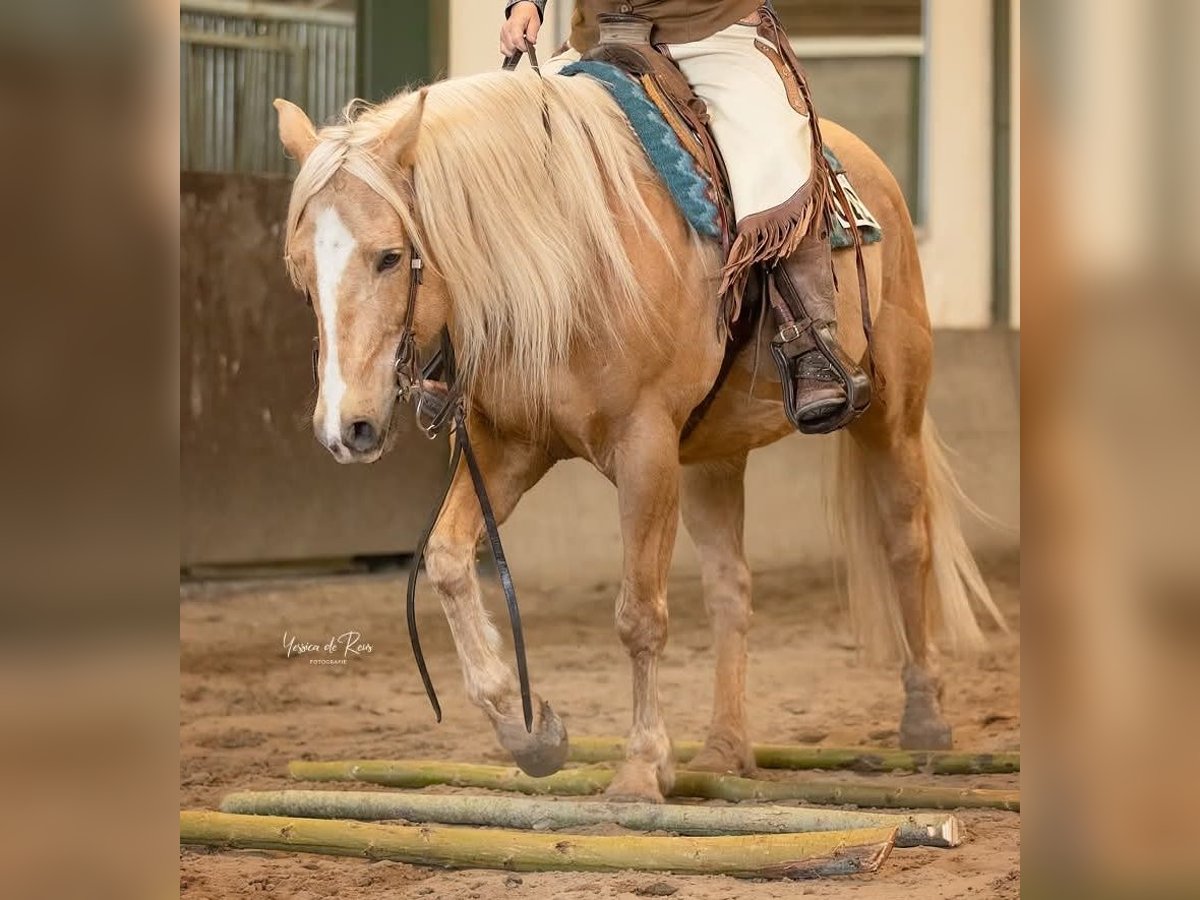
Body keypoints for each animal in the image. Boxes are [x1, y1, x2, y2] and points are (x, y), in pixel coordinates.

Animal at [273, 67, 1005, 802]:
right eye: (301, 271)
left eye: (390, 257)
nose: (346, 428)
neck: (573, 259)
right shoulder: (508, 449)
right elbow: (447, 558)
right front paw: (531, 733)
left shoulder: (644, 451)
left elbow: (639, 615)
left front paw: (642, 765)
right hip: (712, 458)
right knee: (730, 589)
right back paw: (725, 749)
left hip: (892, 413)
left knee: (906, 544)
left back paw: (924, 718)